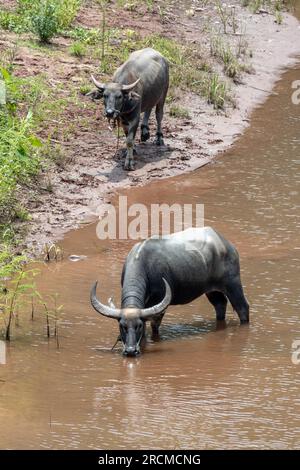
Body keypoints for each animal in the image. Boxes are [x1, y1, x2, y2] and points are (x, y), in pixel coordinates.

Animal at [90, 228, 250, 356]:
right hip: (212, 291)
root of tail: (227, 245)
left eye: (138, 326)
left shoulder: (159, 304)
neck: (144, 266)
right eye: (122, 326)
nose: (130, 351)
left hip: (233, 284)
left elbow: (154, 326)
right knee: (220, 304)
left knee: (242, 307)